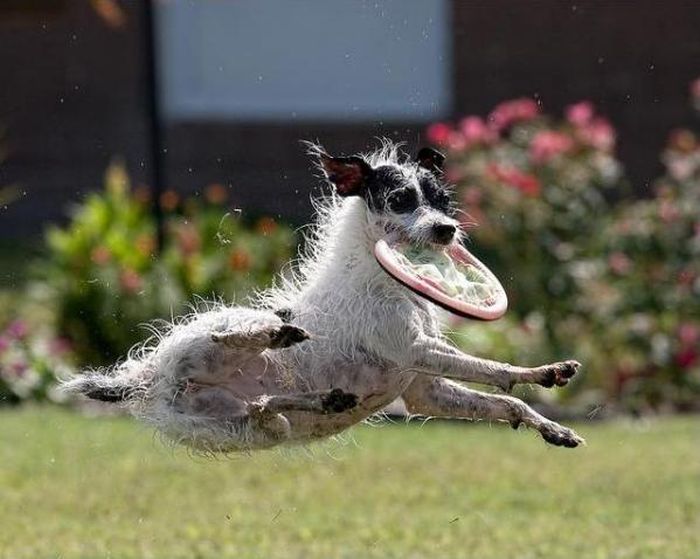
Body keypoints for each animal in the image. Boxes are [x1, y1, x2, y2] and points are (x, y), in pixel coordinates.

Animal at [64, 142, 584, 452]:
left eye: (442, 200)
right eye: (400, 200)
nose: (446, 229)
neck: (385, 284)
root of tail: (147, 377)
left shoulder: (425, 391)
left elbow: (506, 404)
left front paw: (550, 424)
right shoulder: (415, 349)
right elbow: (492, 368)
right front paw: (537, 372)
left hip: (252, 429)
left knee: (267, 407)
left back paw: (321, 398)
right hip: (206, 343)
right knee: (232, 338)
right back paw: (274, 335)